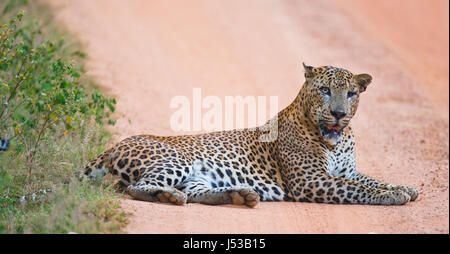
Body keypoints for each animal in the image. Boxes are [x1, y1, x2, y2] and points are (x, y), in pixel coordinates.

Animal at [82, 62, 420, 207]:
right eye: (325, 90)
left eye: (351, 94)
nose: (338, 113)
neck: (335, 138)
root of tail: (115, 145)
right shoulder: (310, 180)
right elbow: (355, 188)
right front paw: (391, 196)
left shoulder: (346, 170)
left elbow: (370, 179)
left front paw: (403, 187)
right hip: (175, 161)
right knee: (135, 187)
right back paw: (171, 196)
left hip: (197, 175)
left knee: (196, 192)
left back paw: (238, 195)